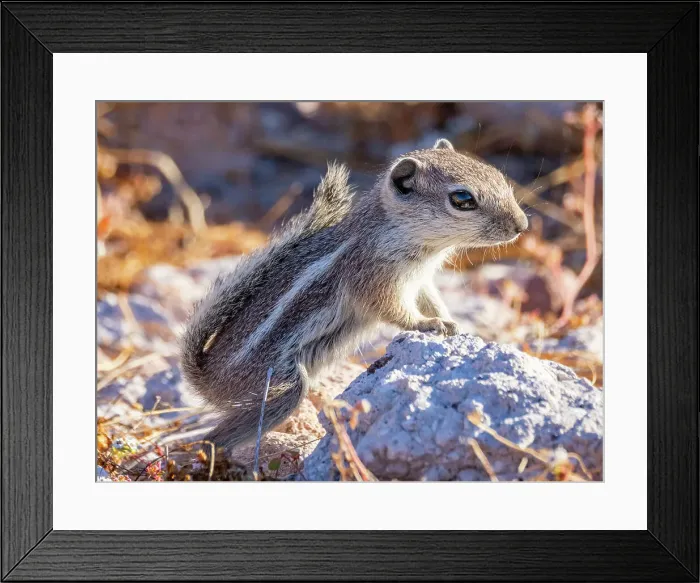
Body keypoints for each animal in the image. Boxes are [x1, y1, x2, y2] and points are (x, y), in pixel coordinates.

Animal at [180, 138, 528, 449]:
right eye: (462, 198)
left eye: (498, 176)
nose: (522, 225)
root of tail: (207, 379)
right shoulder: (375, 277)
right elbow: (395, 310)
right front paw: (428, 324)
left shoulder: (420, 281)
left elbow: (432, 300)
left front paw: (452, 322)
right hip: (276, 385)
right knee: (217, 436)